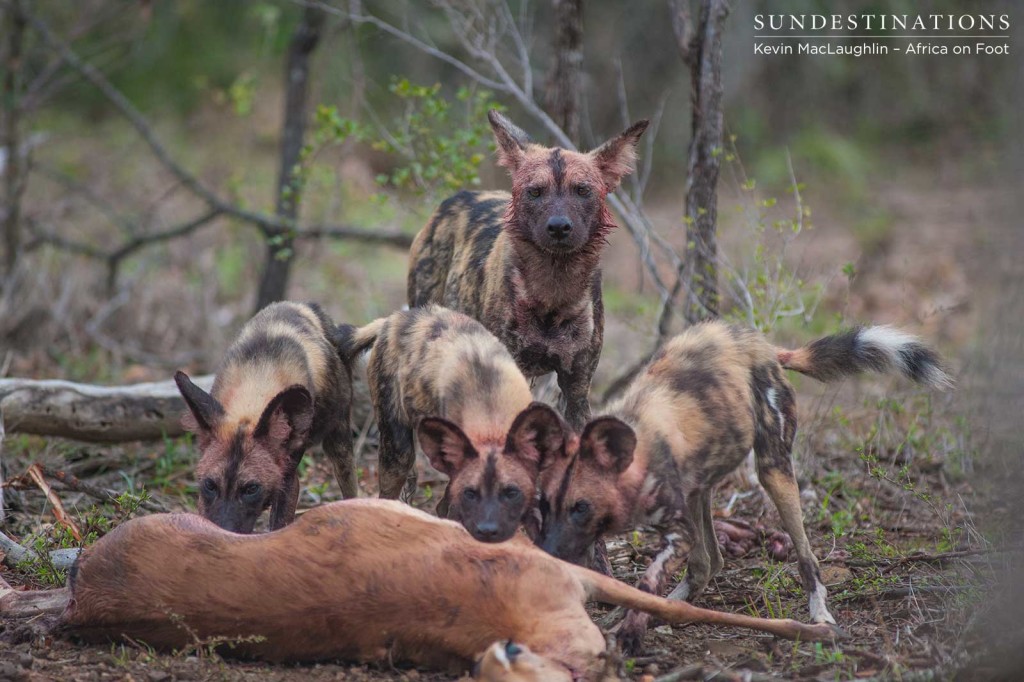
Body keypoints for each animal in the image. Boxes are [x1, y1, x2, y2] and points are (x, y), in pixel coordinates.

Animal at [405, 111, 647, 430]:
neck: (553, 291)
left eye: (582, 190)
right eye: (535, 192)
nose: (559, 227)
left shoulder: (577, 387)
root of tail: (456, 198)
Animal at [540, 321, 946, 651]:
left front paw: (631, 630)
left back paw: (819, 615)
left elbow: (647, 583)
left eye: (581, 507)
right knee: (709, 562)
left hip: (774, 471)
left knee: (806, 558)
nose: (548, 552)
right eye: (544, 506)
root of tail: (762, 345)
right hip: (700, 491)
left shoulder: (676, 532)